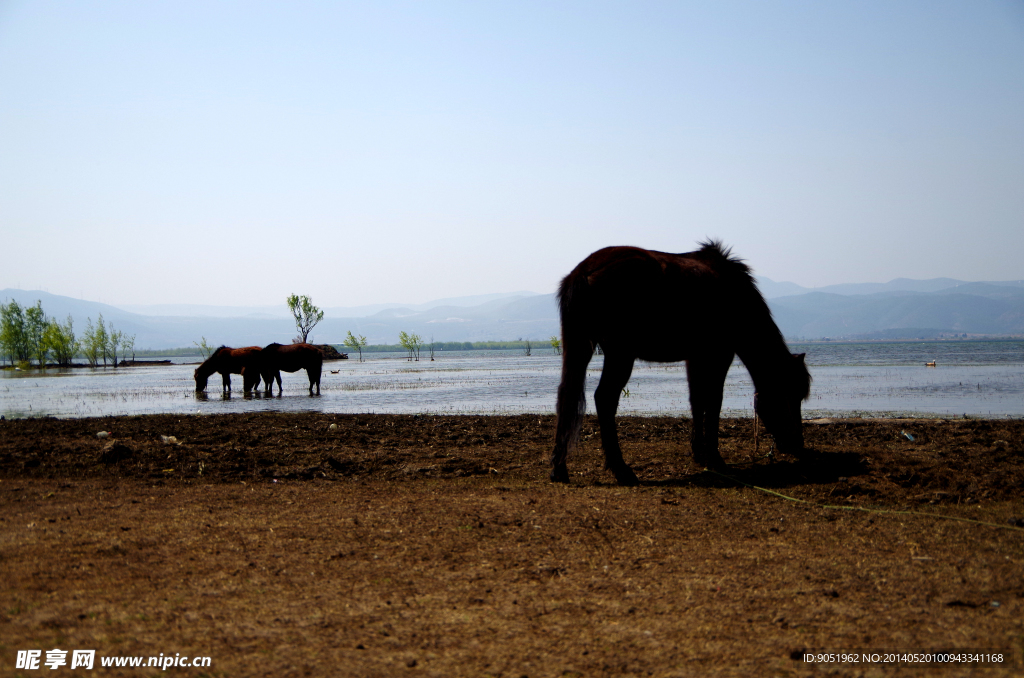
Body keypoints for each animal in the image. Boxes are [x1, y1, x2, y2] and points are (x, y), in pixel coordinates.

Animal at [548, 241, 811, 485]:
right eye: (790, 394)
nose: (798, 446)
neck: (734, 294)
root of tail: (583, 271)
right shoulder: (720, 354)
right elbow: (714, 402)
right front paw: (716, 459)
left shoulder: (694, 358)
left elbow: (696, 400)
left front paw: (699, 453)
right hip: (619, 354)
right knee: (604, 399)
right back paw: (621, 470)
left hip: (579, 347)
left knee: (567, 394)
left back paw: (559, 468)